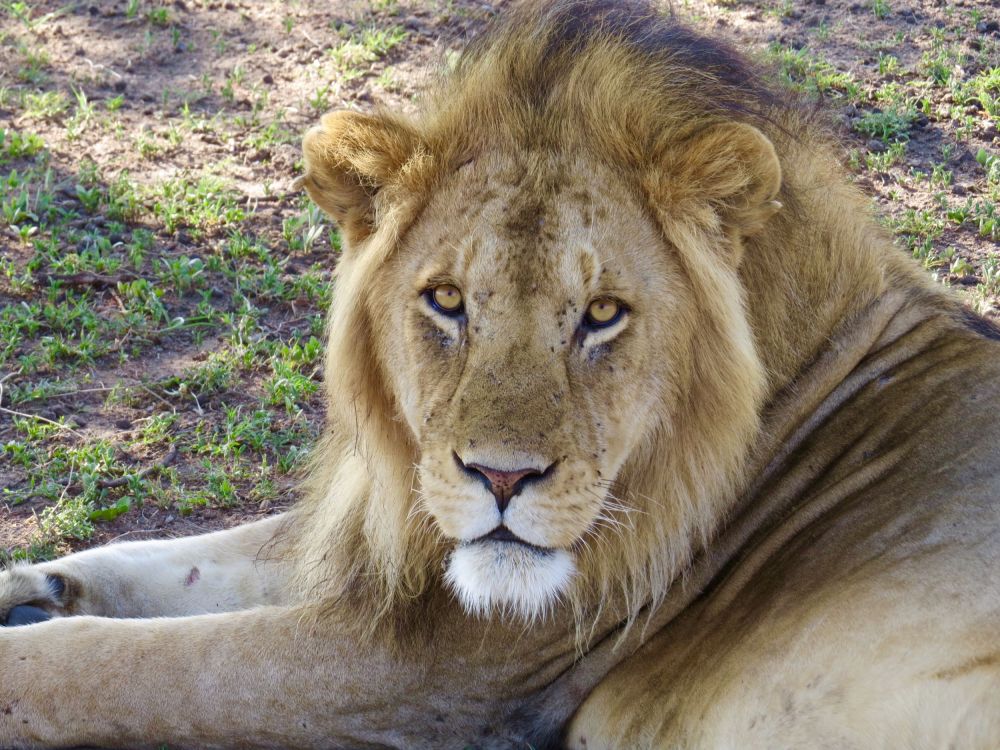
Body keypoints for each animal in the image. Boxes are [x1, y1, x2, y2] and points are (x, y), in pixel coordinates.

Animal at [2, 0, 1000, 747]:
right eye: (446, 301)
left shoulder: (424, 674)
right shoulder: (392, 528)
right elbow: (195, 560)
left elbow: (116, 665)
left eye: (602, 314)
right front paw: (32, 587)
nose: (502, 478)